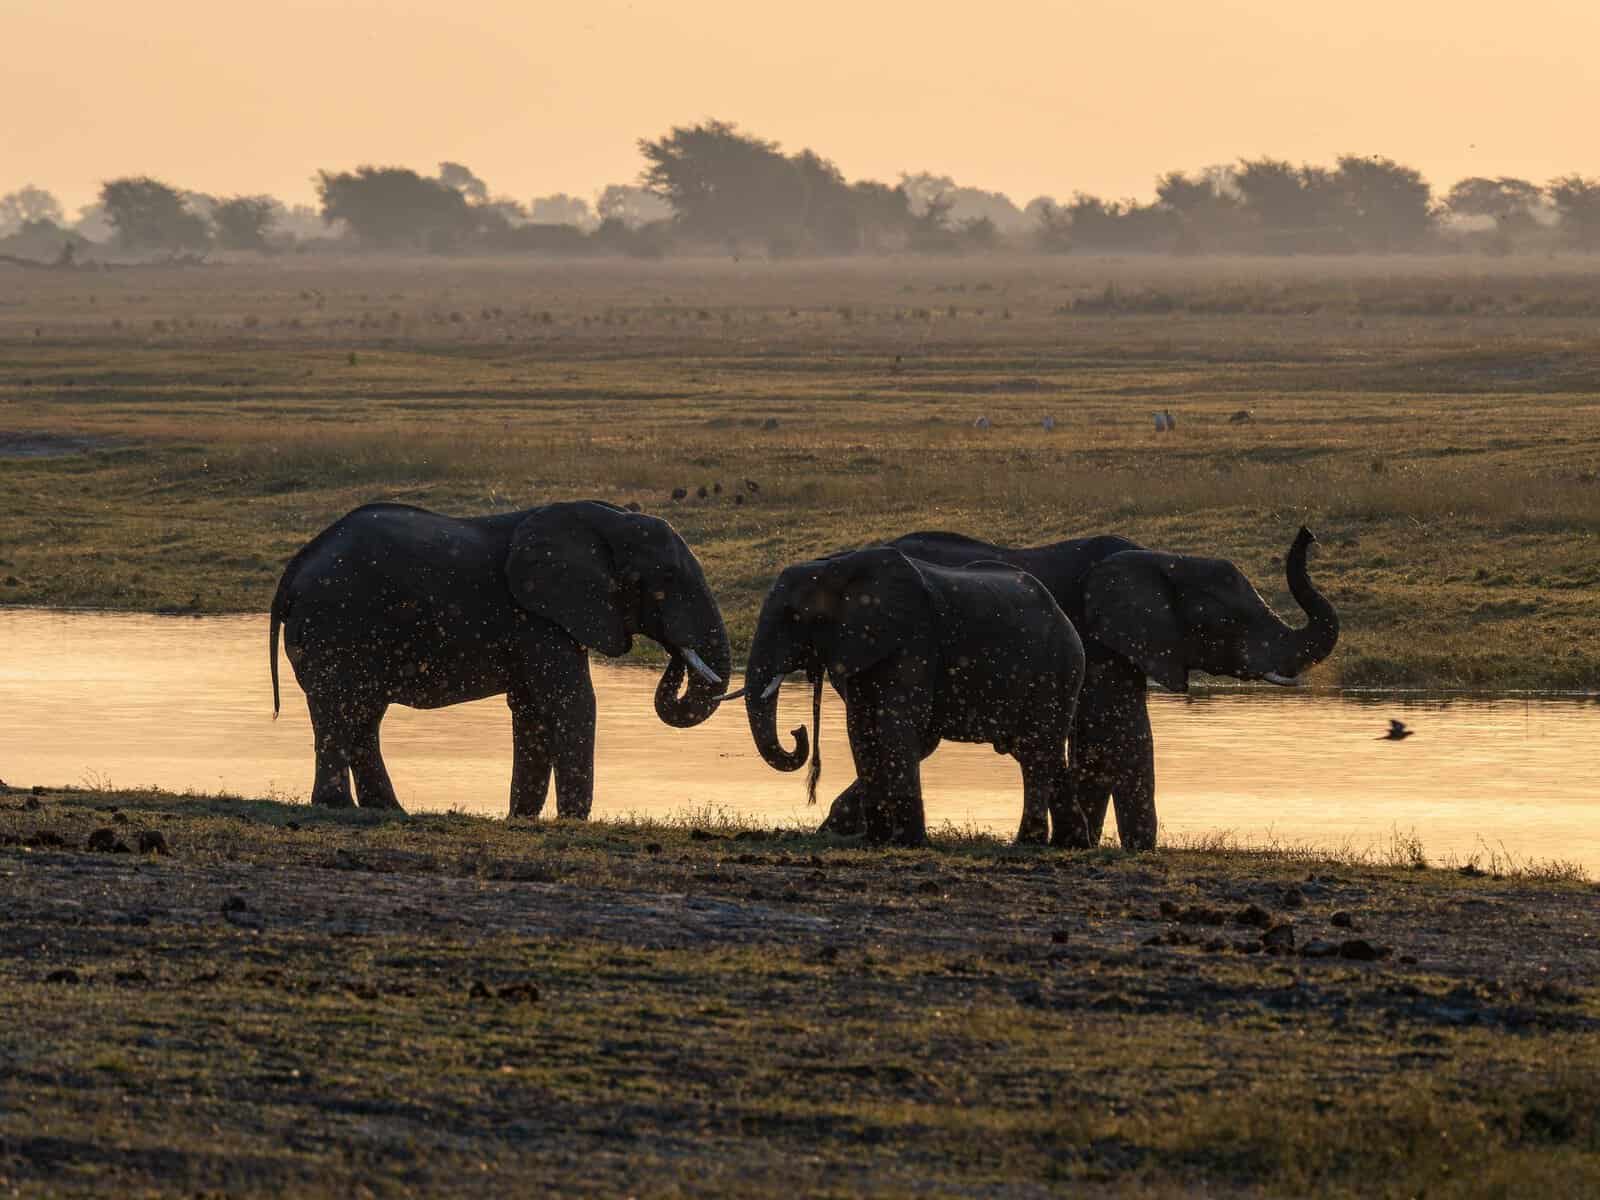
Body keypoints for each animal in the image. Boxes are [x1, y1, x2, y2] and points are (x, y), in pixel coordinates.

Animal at [268, 501, 731, 817]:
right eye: (666, 581)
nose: (676, 652)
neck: (606, 520)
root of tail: (294, 570)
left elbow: (531, 709)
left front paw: (522, 818)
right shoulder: (538, 616)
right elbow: (571, 701)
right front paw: (572, 820)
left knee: (361, 714)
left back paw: (385, 810)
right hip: (336, 621)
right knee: (340, 708)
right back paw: (337, 807)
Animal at [737, 547, 1085, 846]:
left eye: (793, 616)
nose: (797, 730)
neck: (837, 567)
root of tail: (1065, 619)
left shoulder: (914, 639)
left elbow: (896, 726)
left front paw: (908, 842)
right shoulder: (863, 648)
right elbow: (860, 728)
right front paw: (875, 841)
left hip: (1057, 670)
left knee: (1037, 751)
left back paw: (1027, 843)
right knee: (1041, 752)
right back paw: (1070, 844)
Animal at [816, 527, 1338, 851]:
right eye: (1235, 621)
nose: (1310, 535)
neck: (1161, 560)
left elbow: (1097, 742)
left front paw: (1085, 841)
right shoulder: (1101, 639)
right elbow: (1121, 734)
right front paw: (1135, 849)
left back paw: (834, 828)